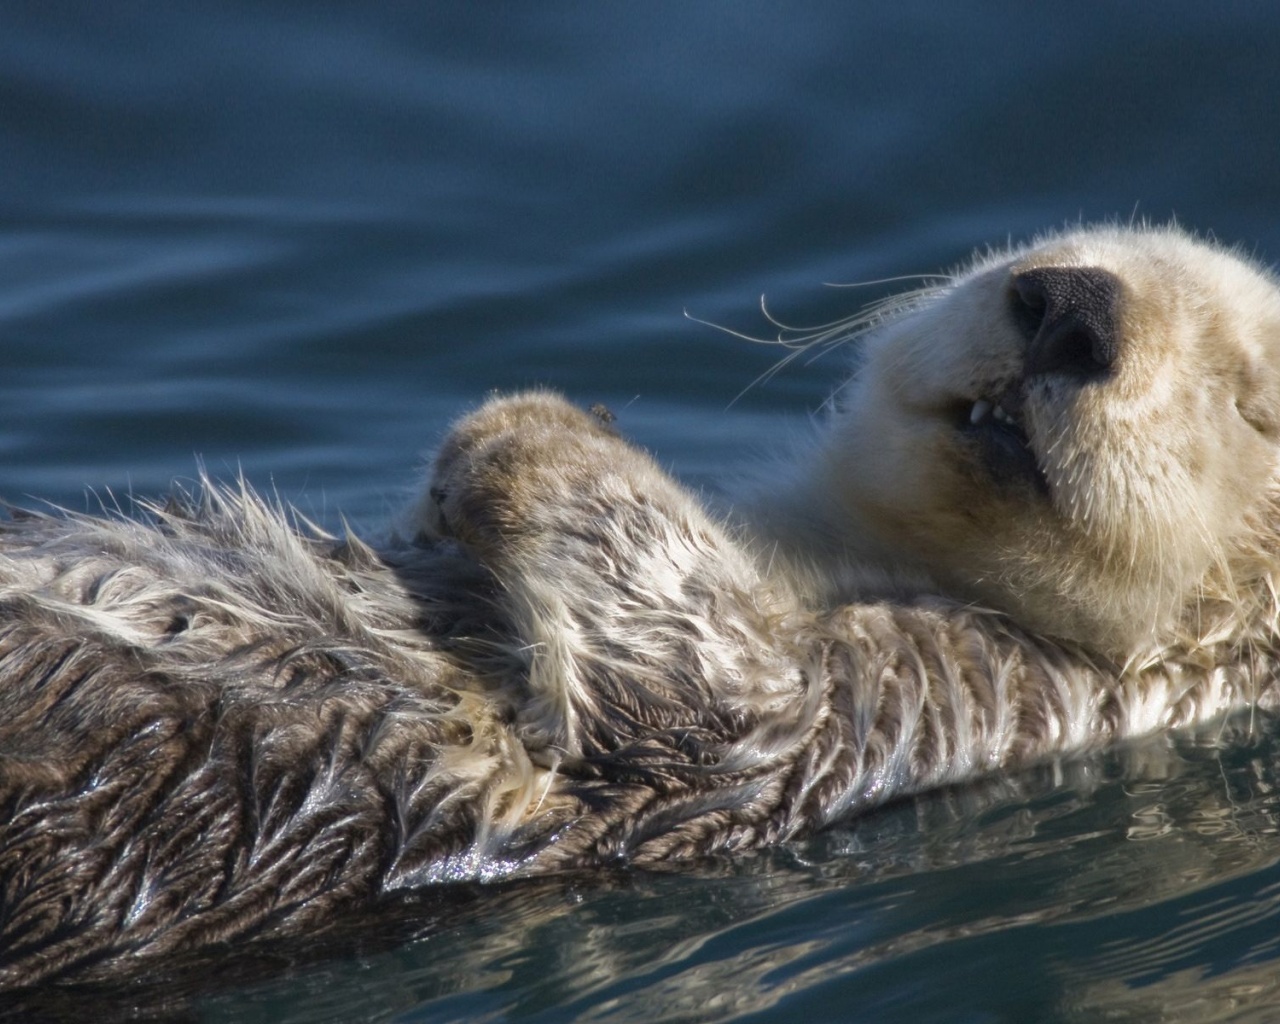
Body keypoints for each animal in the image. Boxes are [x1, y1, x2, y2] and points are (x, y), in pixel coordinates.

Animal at [2, 224, 1280, 983]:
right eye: (1072, 246)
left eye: (1248, 400)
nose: (1069, 305)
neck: (834, 551)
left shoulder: (926, 697)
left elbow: (700, 680)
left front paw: (522, 427)